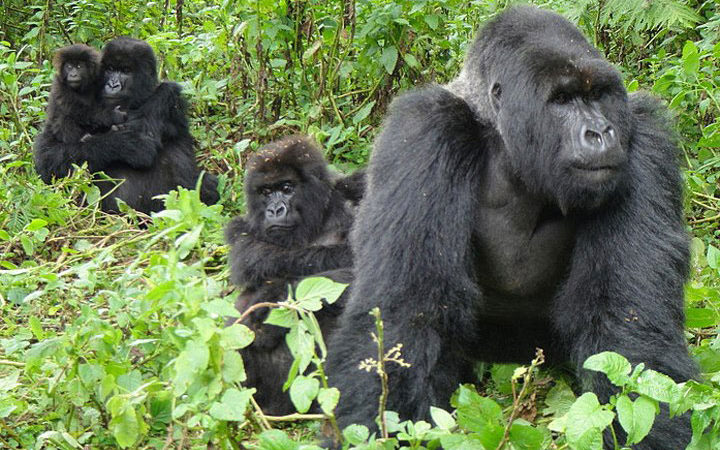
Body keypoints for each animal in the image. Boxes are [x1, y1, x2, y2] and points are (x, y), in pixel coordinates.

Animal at [33, 36, 218, 213]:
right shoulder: (62, 104)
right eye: (110, 69)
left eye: (126, 71)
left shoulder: (171, 101)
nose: (112, 85)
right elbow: (48, 158)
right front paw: (124, 144)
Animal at [226, 136, 366, 414]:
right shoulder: (241, 229)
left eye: (287, 187)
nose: (275, 210)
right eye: (266, 192)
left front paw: (274, 296)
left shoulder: (355, 191)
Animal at [326, 7, 696, 450]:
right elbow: (407, 306)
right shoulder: (424, 128)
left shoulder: (643, 137)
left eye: (598, 95)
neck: (506, 145)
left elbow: (630, 327)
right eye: (562, 99)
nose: (601, 132)